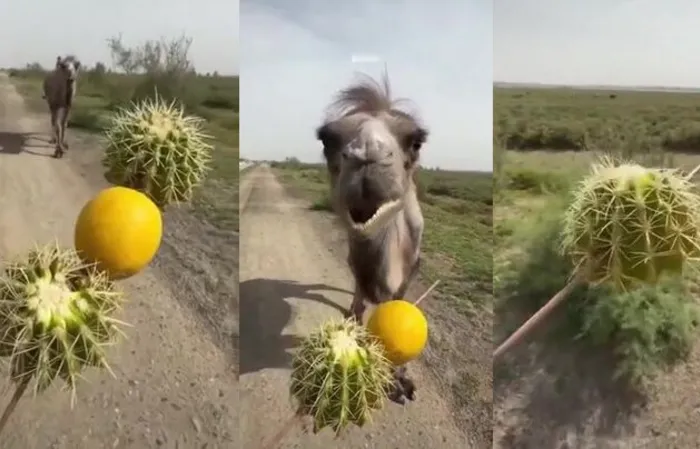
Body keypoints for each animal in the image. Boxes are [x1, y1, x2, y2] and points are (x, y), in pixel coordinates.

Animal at [316, 73, 428, 404]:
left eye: (416, 141)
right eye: (326, 139)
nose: (367, 155)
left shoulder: (413, 265)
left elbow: (399, 307)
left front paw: (401, 380)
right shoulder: (356, 261)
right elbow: (360, 302)